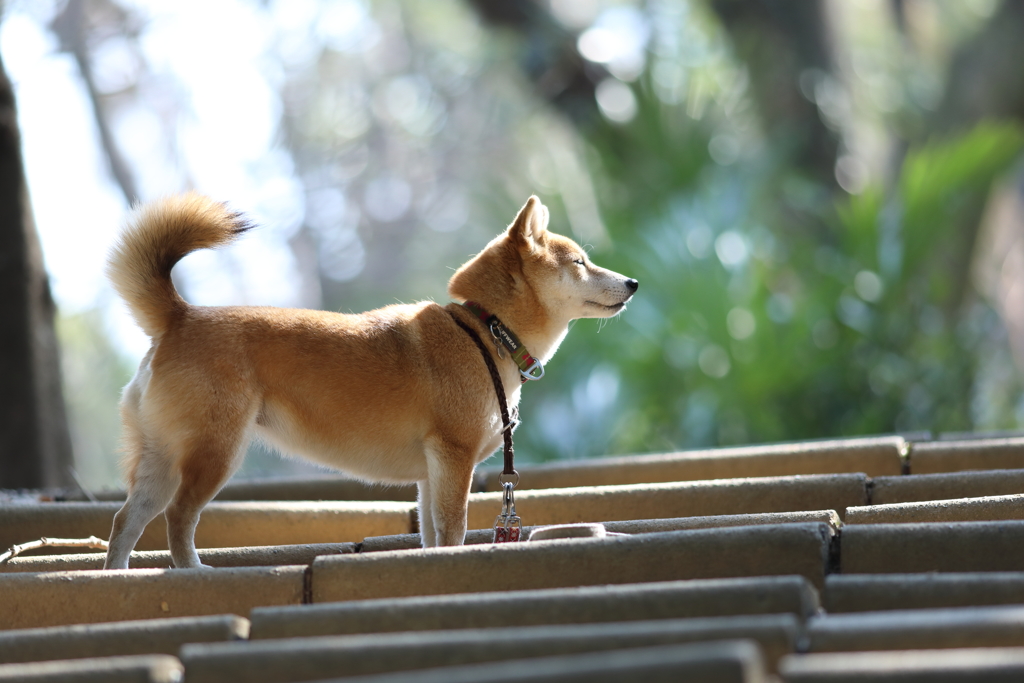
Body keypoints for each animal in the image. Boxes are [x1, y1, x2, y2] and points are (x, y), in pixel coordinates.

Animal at [101, 189, 630, 569]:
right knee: (177, 518)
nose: (633, 282)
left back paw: (116, 576)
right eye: (580, 262)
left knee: (126, 522)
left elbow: (432, 534)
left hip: (162, 459)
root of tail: (180, 317)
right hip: (215, 452)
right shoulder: (453, 457)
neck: (486, 331)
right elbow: (453, 530)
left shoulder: (431, 472)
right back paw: (192, 571)